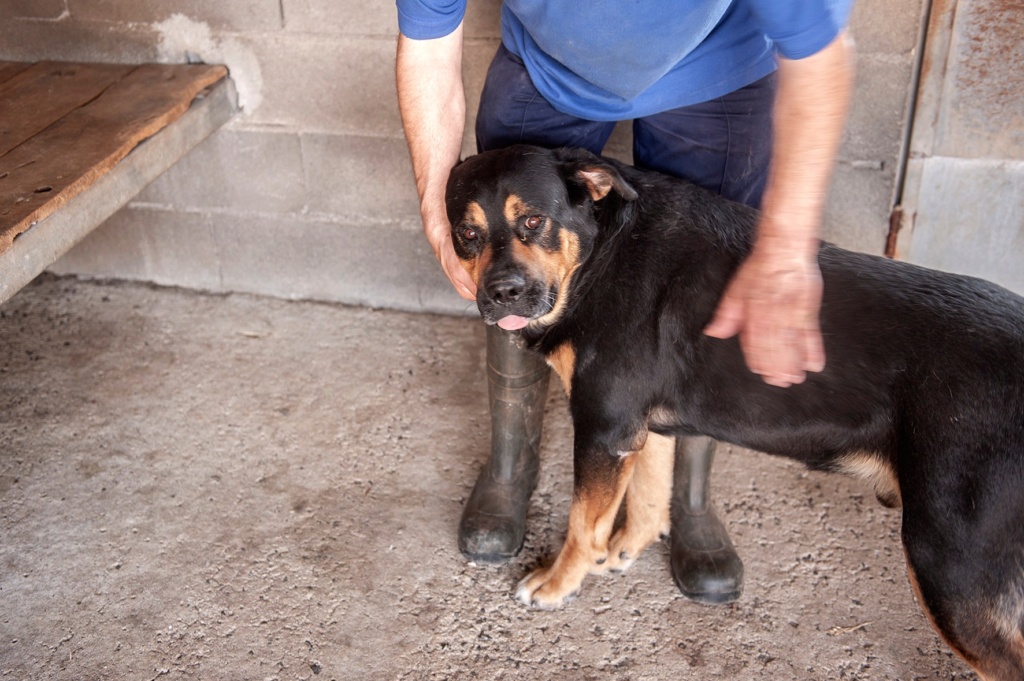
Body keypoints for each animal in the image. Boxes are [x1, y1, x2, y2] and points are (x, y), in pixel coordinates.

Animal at [442, 144, 1024, 679]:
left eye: (533, 220)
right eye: (466, 233)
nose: (502, 293)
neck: (600, 251)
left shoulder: (605, 427)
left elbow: (583, 521)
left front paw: (559, 583)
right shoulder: (638, 426)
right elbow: (649, 495)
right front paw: (625, 549)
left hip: (950, 561)